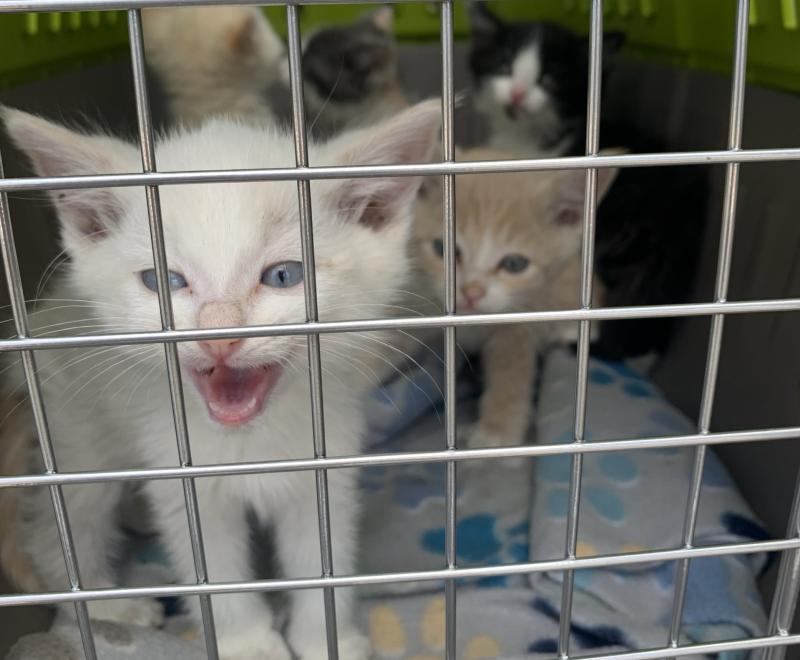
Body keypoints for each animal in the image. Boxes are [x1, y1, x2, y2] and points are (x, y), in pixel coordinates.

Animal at [0, 99, 440, 660]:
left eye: (283, 275)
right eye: (164, 281)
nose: (219, 337)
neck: (249, 441)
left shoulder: (327, 460)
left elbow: (322, 555)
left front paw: (327, 639)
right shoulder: (181, 471)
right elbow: (211, 564)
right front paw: (250, 643)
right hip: (78, 427)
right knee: (67, 520)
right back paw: (107, 609)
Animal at [416, 148, 616, 448]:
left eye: (514, 264)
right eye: (442, 249)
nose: (471, 292)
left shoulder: (522, 319)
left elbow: (511, 375)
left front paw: (496, 433)